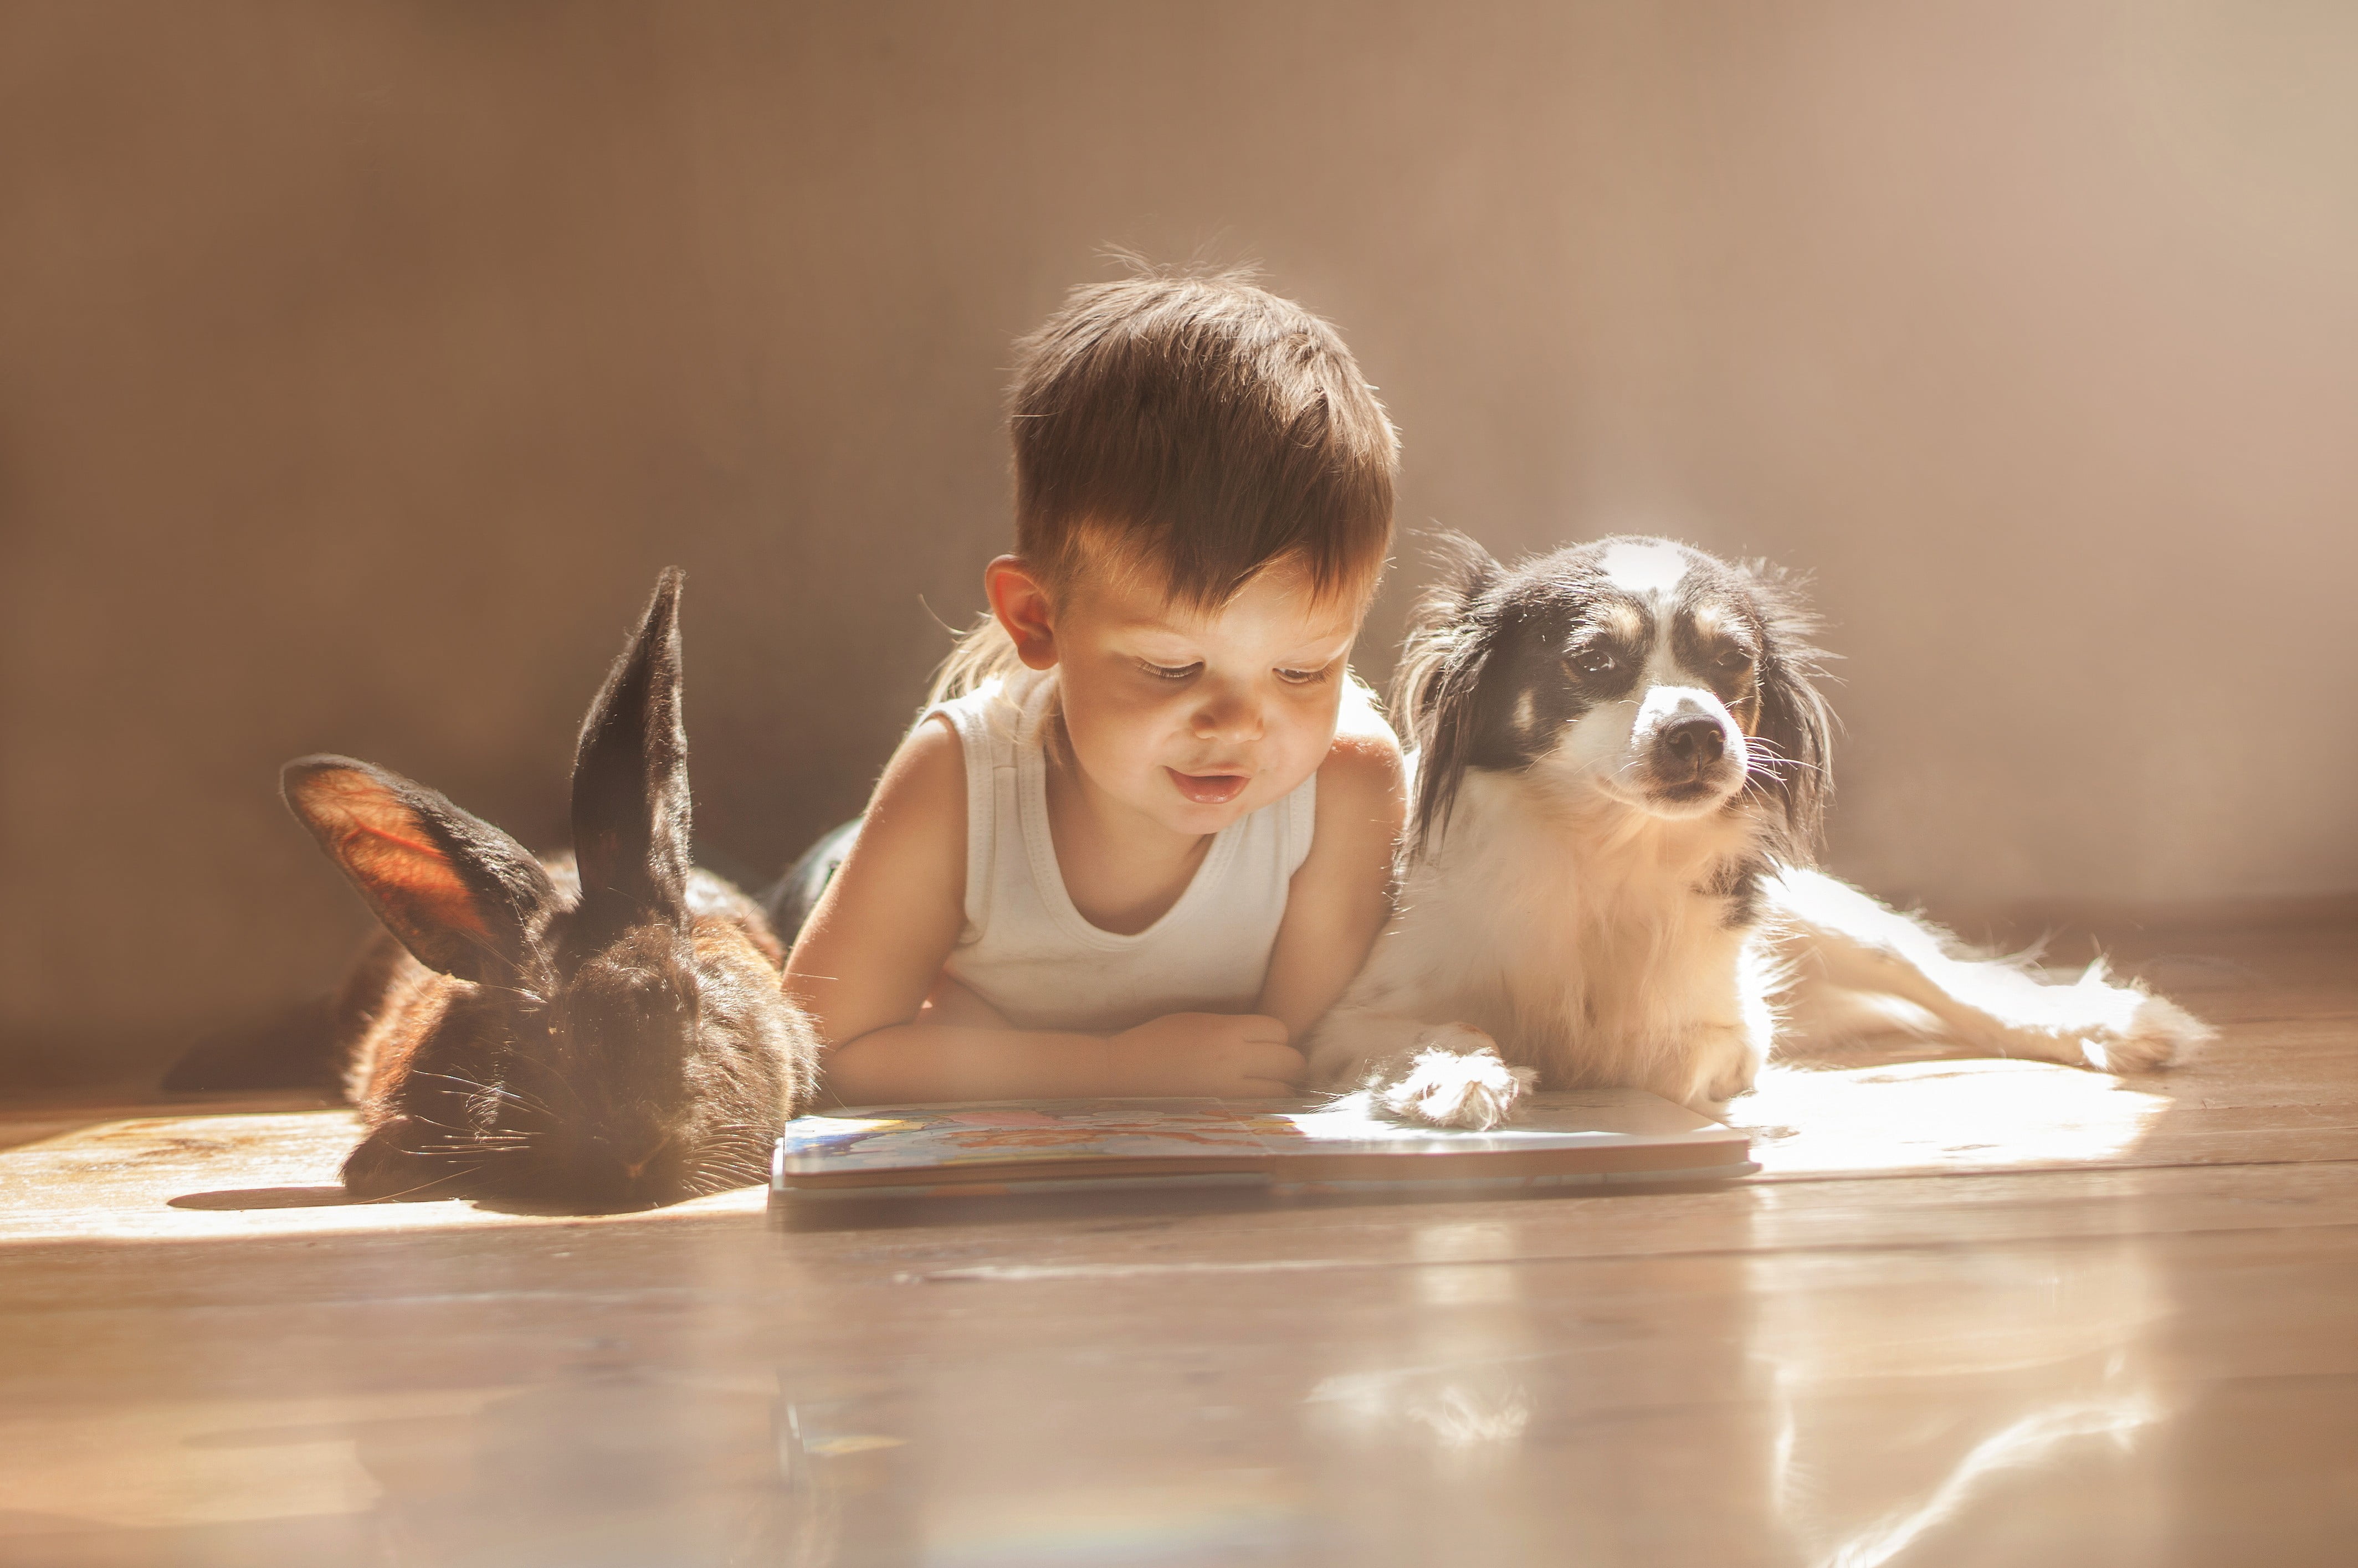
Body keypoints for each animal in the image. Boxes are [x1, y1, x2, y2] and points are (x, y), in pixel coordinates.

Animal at [1311, 535, 2207, 1127]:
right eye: (1593, 661)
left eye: (1732, 660)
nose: (1700, 733)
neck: (1607, 853)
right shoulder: (1349, 1017)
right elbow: (1449, 1023)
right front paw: (1456, 1074)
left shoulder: (1731, 1027)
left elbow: (1667, 1056)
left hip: (1832, 919)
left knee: (1955, 981)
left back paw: (2107, 1025)